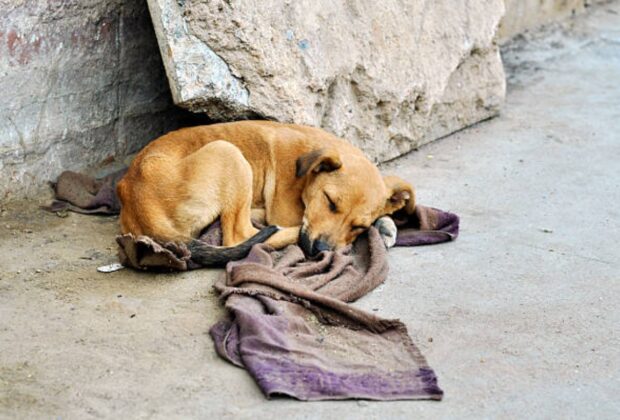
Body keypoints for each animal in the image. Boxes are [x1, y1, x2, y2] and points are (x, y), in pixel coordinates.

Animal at [117, 120, 416, 264]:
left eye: (358, 226)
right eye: (330, 202)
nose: (320, 250)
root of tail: (135, 198)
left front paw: (385, 224)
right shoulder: (288, 211)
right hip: (228, 152)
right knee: (240, 235)